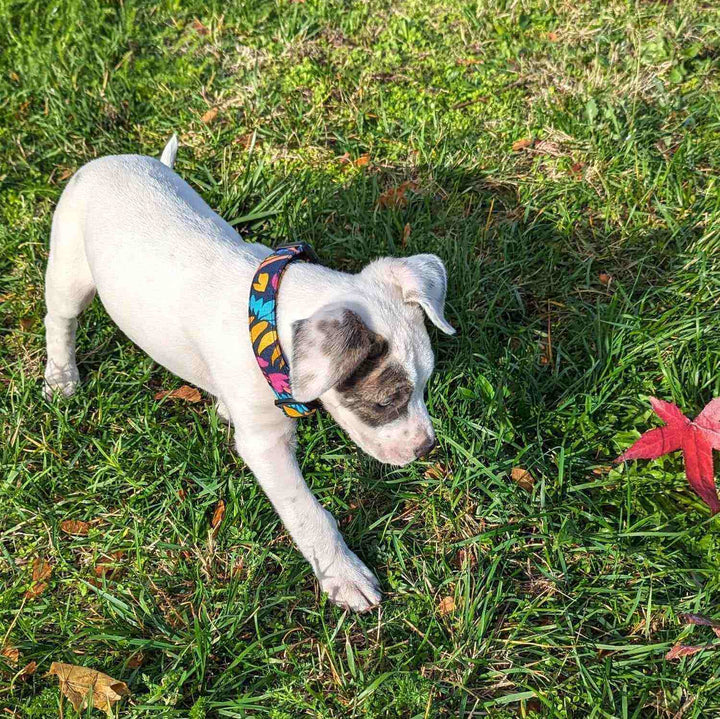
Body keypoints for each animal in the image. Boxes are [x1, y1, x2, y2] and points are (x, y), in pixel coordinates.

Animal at [42, 136, 452, 612]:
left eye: (425, 386)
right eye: (386, 401)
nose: (426, 449)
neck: (265, 318)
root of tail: (113, 159)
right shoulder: (265, 445)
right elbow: (307, 513)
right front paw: (343, 575)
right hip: (69, 268)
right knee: (60, 319)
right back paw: (60, 378)